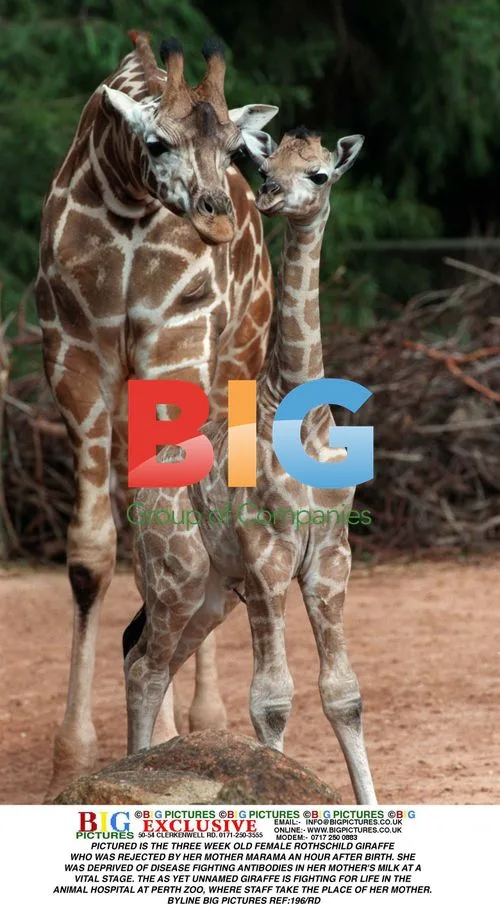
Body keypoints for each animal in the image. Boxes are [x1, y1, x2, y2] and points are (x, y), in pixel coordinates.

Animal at [35, 30, 278, 799]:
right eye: (155, 142)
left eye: (234, 146)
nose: (216, 218)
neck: (129, 208)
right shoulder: (74, 361)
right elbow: (91, 552)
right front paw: (73, 756)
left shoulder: (171, 348)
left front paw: (165, 740)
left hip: (232, 364)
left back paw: (205, 718)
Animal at [123, 127, 377, 804]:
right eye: (263, 167)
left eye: (318, 174)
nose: (270, 196)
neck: (303, 420)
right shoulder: (268, 556)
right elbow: (271, 698)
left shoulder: (331, 557)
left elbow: (344, 694)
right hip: (178, 575)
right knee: (144, 665)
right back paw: (132, 773)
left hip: (212, 595)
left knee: (147, 661)